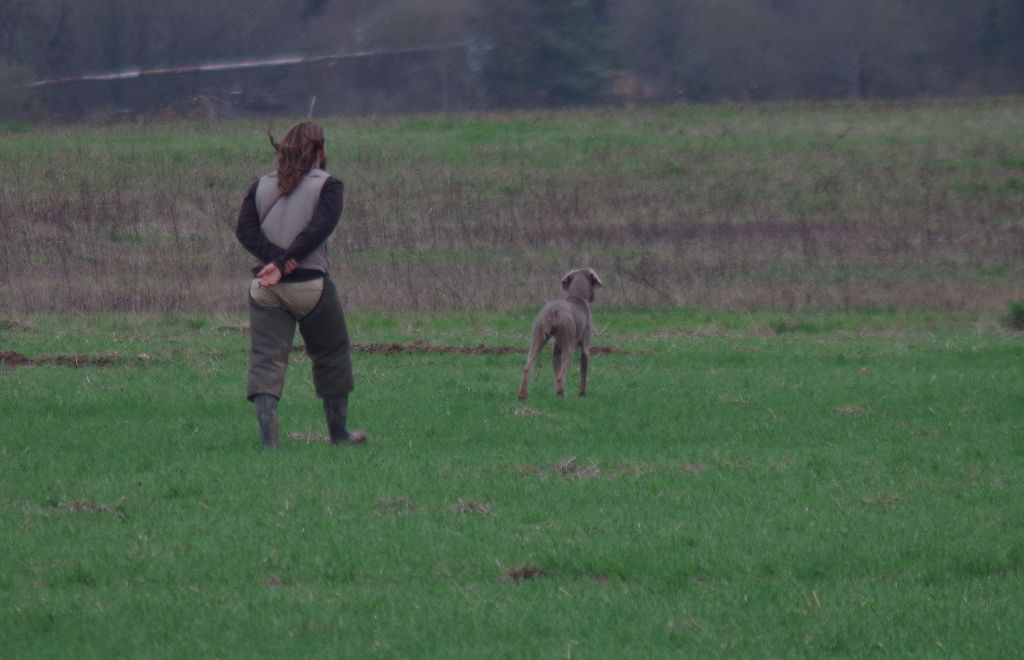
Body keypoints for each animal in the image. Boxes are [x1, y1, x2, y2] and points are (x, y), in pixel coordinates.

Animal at [520, 266, 598, 399]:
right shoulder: (585, 347)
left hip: (538, 339)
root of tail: (552, 312)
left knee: (527, 368)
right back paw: (563, 395)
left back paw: (522, 395)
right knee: (561, 376)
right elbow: (583, 371)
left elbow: (556, 368)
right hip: (569, 346)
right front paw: (582, 393)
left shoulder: (556, 348)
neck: (577, 296)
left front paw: (556, 392)